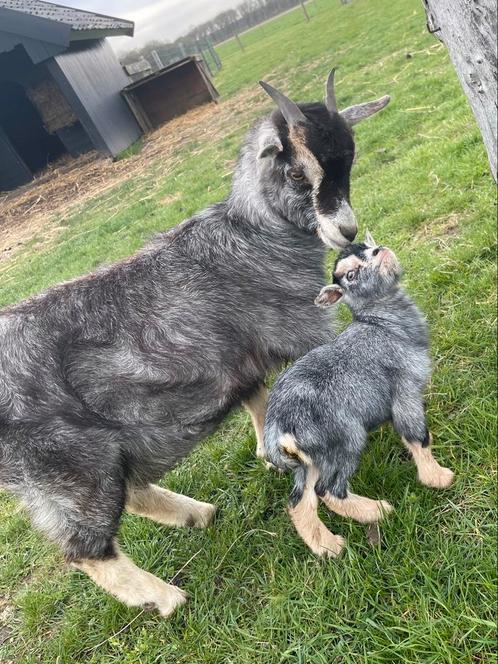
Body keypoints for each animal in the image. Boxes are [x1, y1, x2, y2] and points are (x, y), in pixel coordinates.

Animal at [264, 233, 456, 556]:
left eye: (368, 246)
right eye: (351, 275)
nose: (380, 251)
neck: (382, 325)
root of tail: (277, 430)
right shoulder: (404, 392)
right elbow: (418, 436)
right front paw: (438, 478)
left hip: (313, 457)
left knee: (299, 500)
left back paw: (328, 547)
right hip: (344, 440)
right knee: (328, 491)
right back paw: (377, 511)